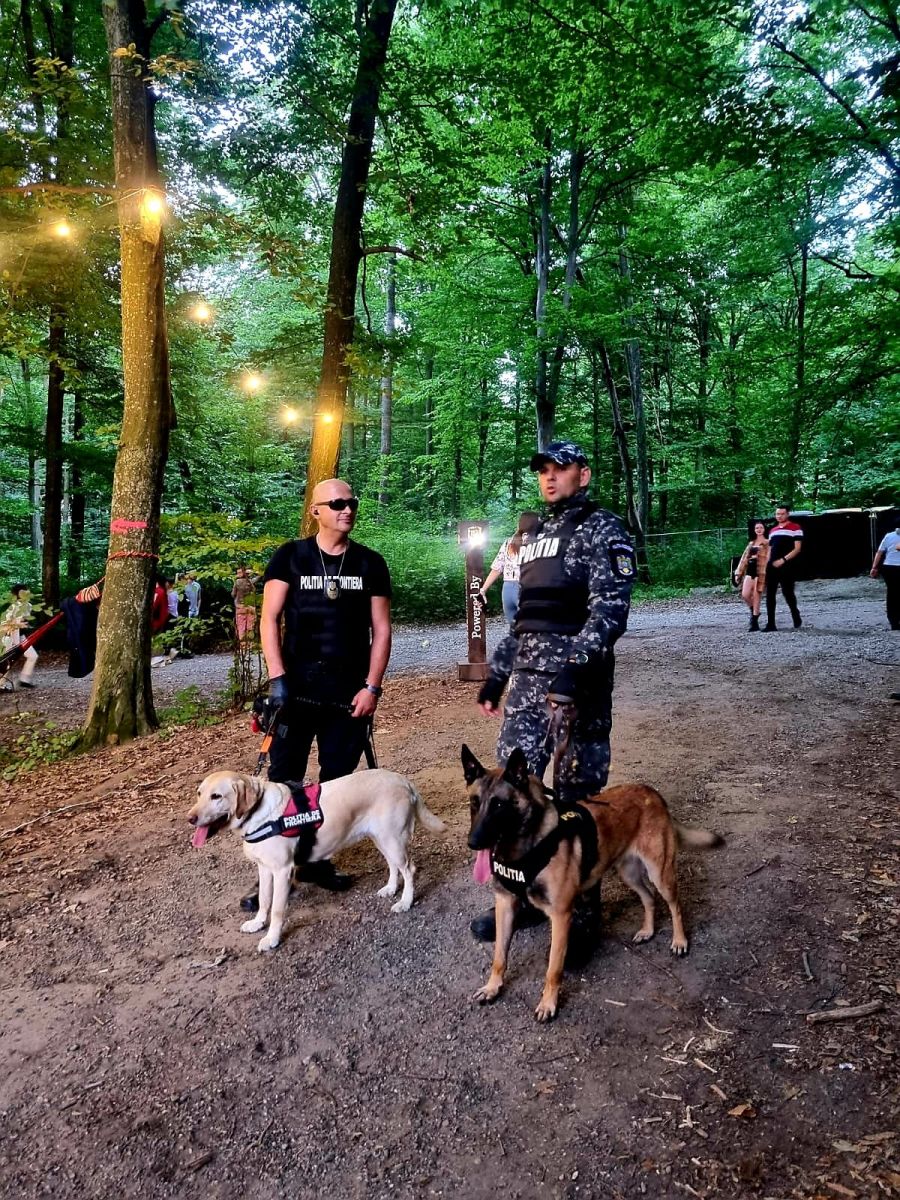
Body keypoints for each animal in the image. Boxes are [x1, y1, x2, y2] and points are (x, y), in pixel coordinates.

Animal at [188, 769, 445, 952]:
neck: (258, 814)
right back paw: (391, 889)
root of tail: (403, 780)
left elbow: (277, 910)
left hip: (392, 839)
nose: (190, 818)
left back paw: (405, 902)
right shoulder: (265, 869)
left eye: (216, 796)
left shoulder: (282, 871)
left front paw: (272, 939)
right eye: (199, 793)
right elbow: (264, 900)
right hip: (381, 838)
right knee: (394, 866)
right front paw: (257, 923)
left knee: (409, 869)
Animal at [462, 744, 723, 1022]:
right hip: (629, 873)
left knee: (674, 905)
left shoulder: (560, 916)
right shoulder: (505, 905)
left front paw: (548, 1004)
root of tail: (652, 793)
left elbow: (553, 968)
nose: (473, 842)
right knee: (649, 897)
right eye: (475, 802)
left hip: (659, 872)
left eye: (499, 805)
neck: (526, 847)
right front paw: (492, 987)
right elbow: (499, 956)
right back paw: (648, 931)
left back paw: (680, 941)